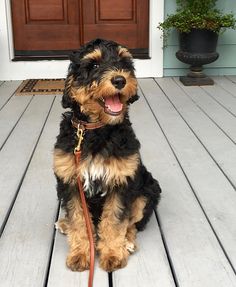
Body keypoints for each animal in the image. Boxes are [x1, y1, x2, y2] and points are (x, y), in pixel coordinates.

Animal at [53, 39, 160, 274]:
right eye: (93, 65)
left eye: (124, 62)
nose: (120, 80)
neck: (97, 131)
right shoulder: (70, 182)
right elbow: (78, 219)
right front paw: (80, 254)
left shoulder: (121, 183)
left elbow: (115, 220)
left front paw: (112, 254)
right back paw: (64, 223)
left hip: (147, 190)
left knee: (132, 223)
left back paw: (127, 243)